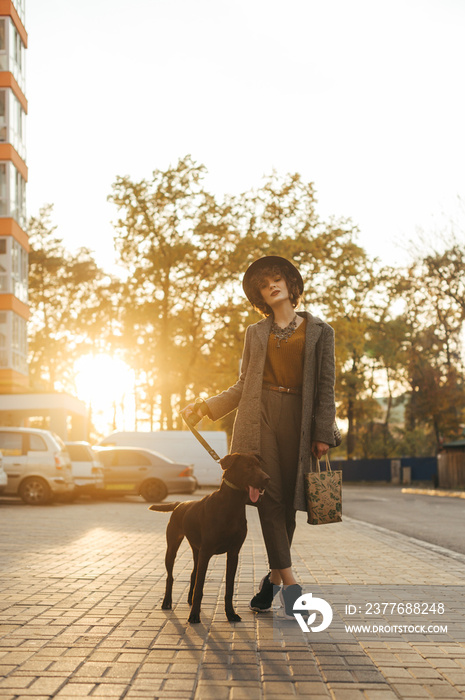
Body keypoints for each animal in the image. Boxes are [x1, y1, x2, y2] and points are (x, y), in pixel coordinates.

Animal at [150, 454, 268, 624]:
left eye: (259, 466)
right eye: (248, 466)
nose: (267, 479)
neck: (231, 504)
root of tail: (180, 503)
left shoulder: (233, 553)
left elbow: (229, 588)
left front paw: (230, 613)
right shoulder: (206, 552)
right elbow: (200, 587)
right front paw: (194, 615)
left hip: (196, 550)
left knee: (193, 573)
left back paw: (190, 599)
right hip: (172, 547)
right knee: (170, 577)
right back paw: (167, 602)